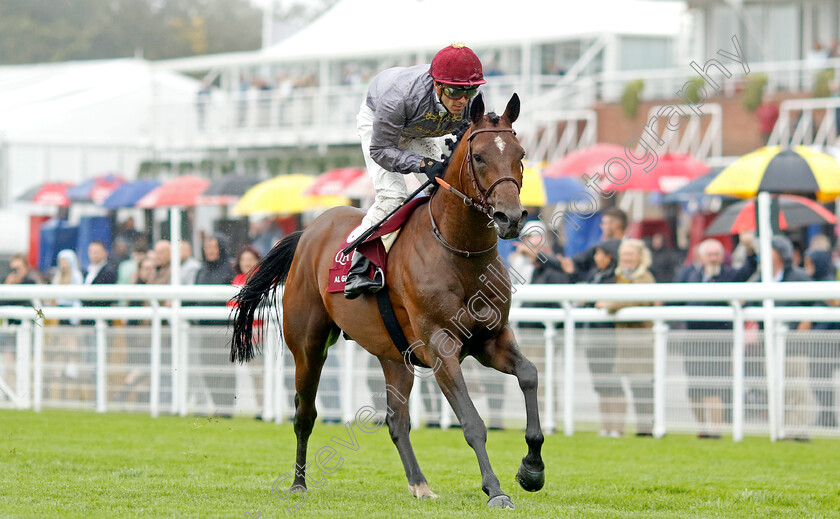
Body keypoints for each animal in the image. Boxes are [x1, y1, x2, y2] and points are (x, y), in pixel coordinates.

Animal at [230, 92, 544, 508]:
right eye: (478, 157)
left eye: (521, 154)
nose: (510, 217)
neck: (459, 252)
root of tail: (308, 232)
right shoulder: (441, 345)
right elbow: (472, 422)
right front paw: (495, 490)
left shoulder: (490, 338)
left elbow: (529, 374)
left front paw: (532, 470)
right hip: (309, 345)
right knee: (304, 414)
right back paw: (298, 484)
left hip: (394, 355)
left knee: (397, 420)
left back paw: (420, 484)